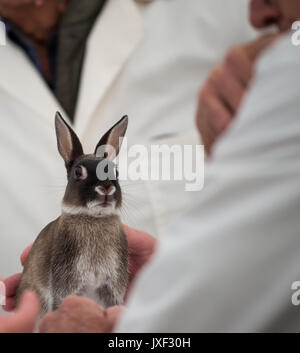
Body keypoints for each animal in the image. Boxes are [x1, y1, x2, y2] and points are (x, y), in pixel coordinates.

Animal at [16, 112, 129, 316]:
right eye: (78, 171)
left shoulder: (112, 288)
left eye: (115, 172)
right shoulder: (66, 285)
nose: (105, 188)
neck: (95, 218)